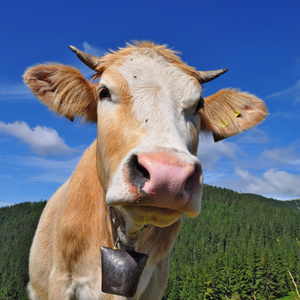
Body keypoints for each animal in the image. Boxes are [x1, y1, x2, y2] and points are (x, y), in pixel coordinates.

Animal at [23, 41, 268, 298]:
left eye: (199, 105)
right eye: (103, 92)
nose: (168, 176)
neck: (128, 234)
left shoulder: (156, 282)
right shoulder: (61, 279)